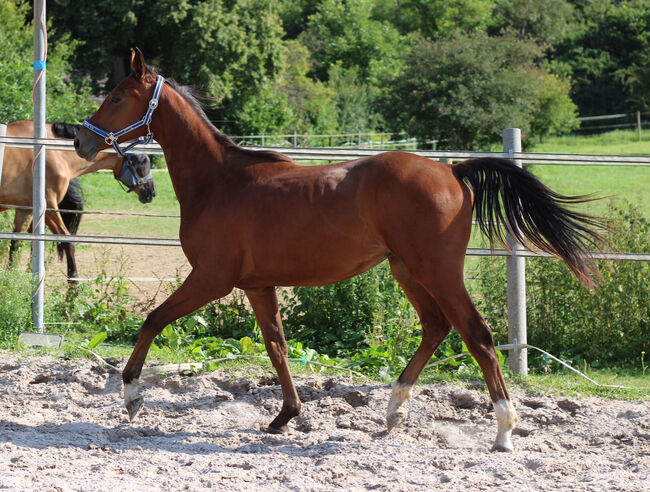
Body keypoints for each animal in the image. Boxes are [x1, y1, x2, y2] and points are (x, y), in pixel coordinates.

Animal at [0, 119, 156, 278]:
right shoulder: (49, 205)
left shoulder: (25, 210)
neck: (54, 153)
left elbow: (17, 242)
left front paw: (14, 274)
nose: (152, 191)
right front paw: (73, 281)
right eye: (142, 160)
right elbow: (66, 240)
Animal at [72, 50, 604, 454]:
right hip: (406, 269)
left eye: (116, 96)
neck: (218, 181)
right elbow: (278, 347)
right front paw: (286, 416)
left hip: (437, 270)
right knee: (436, 327)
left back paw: (503, 432)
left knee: (478, 335)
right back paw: (393, 411)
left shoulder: (211, 278)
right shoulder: (257, 285)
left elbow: (153, 320)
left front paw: (131, 395)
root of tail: (452, 170)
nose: (79, 140)